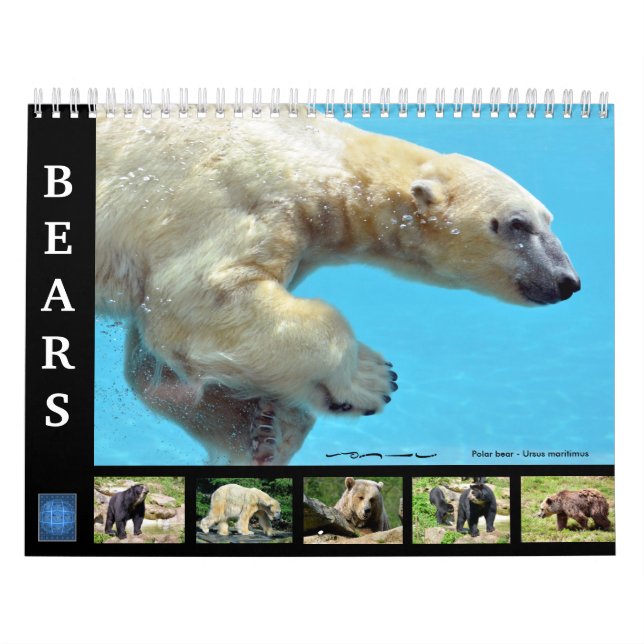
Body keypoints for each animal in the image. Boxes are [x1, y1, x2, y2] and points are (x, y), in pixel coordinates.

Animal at [95, 109, 580, 465]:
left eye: (549, 220)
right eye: (516, 224)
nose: (567, 281)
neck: (322, 155)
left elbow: (151, 363)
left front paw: (264, 431)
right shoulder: (235, 197)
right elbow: (201, 299)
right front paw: (369, 379)